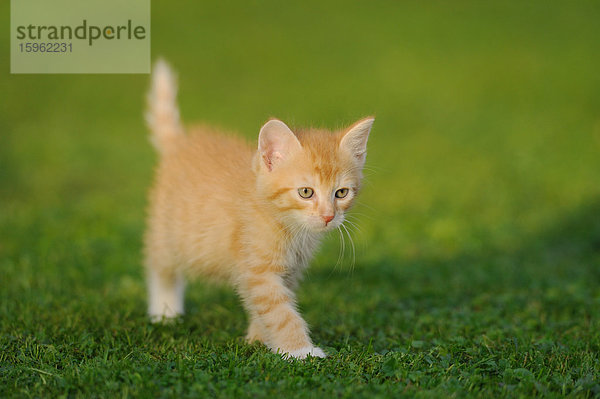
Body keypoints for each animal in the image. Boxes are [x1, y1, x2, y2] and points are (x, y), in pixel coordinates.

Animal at [144, 60, 372, 362]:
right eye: (306, 192)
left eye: (341, 193)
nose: (328, 216)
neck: (286, 225)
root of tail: (180, 143)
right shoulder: (258, 268)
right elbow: (280, 311)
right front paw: (301, 350)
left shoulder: (287, 271)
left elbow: (265, 306)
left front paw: (259, 339)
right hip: (170, 232)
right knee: (160, 267)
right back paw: (164, 311)